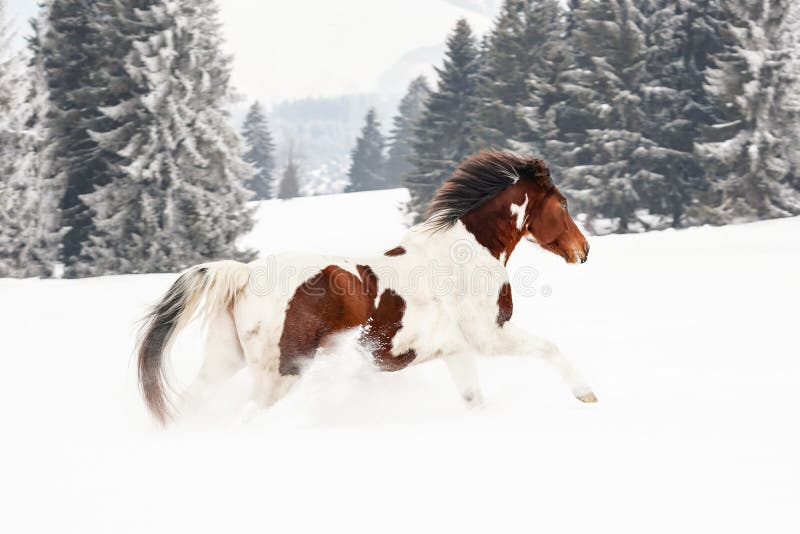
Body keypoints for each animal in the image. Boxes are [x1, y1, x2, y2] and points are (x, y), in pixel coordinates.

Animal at [138, 149, 596, 426]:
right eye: (563, 204)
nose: (584, 250)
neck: (466, 253)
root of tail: (246, 275)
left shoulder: (457, 350)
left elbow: (474, 399)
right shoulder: (489, 335)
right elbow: (549, 348)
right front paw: (586, 395)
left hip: (224, 361)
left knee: (195, 403)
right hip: (282, 373)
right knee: (249, 414)